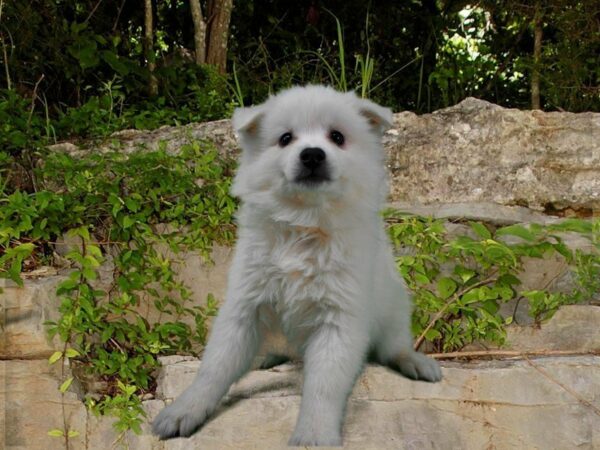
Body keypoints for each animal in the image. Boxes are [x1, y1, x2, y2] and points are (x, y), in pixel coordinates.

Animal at [151, 86, 440, 444]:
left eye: (337, 137)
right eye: (285, 138)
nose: (313, 155)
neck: (305, 223)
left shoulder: (339, 319)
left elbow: (323, 387)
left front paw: (313, 435)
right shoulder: (245, 304)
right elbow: (214, 367)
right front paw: (183, 411)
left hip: (394, 309)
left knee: (394, 346)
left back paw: (415, 362)